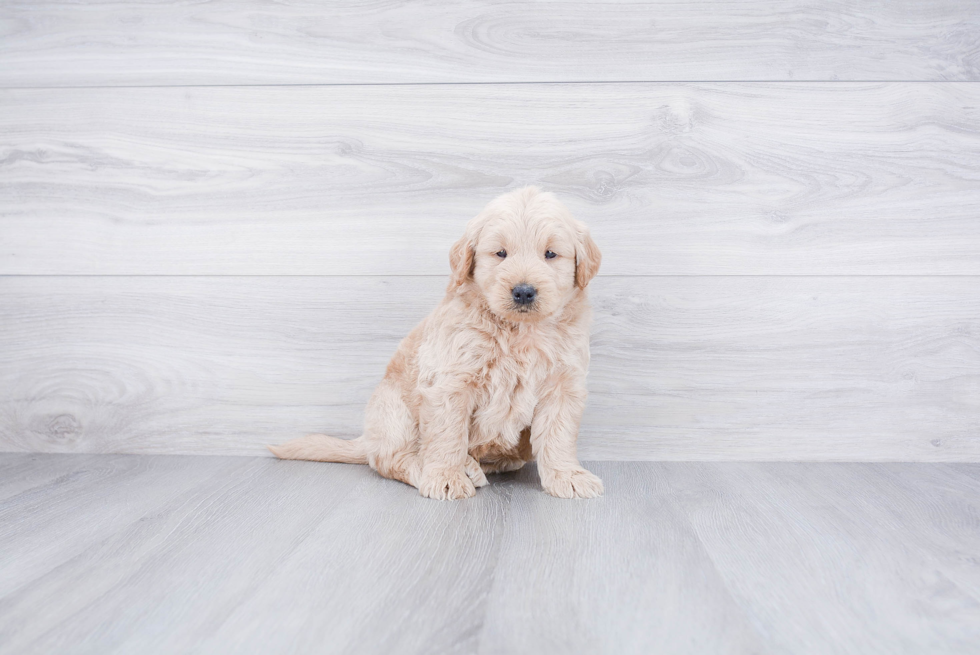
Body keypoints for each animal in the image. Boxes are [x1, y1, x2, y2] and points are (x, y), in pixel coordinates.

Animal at [272, 187, 600, 500]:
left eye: (550, 254)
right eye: (501, 253)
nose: (523, 292)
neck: (520, 330)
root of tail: (367, 440)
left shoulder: (563, 385)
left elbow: (558, 434)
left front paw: (568, 476)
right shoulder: (450, 382)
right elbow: (447, 435)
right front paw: (445, 477)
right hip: (393, 410)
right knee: (391, 459)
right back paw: (451, 468)